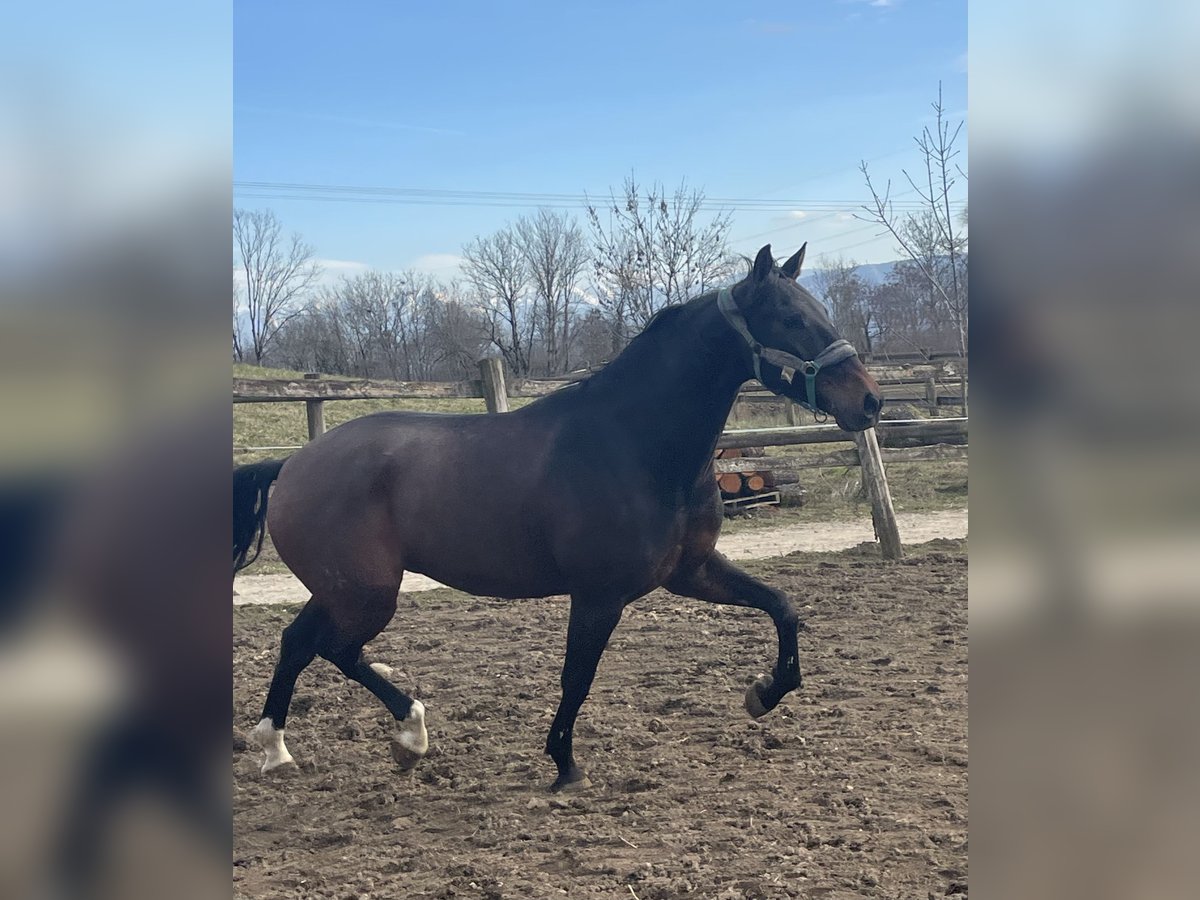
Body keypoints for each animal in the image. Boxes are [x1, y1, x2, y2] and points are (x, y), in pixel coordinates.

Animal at [231, 243, 883, 792]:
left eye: (819, 310)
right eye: (790, 320)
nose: (870, 401)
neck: (635, 443)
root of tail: (294, 464)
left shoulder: (691, 572)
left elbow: (784, 607)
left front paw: (764, 693)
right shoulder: (599, 595)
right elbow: (577, 677)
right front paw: (565, 766)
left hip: (343, 590)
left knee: (298, 642)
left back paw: (280, 750)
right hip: (368, 594)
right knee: (334, 650)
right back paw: (409, 735)